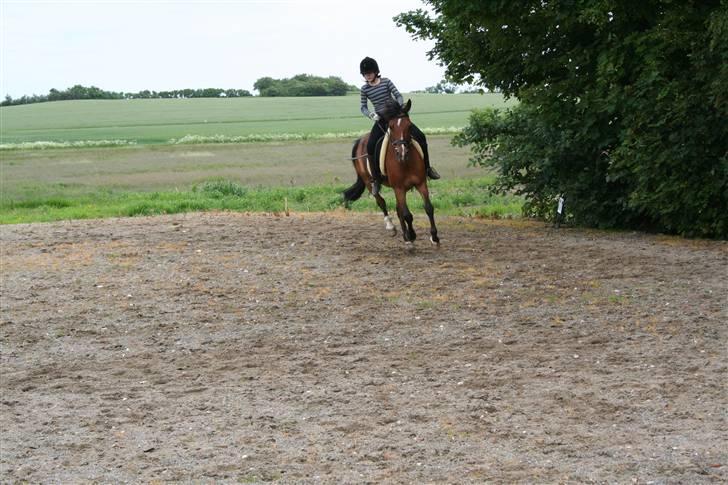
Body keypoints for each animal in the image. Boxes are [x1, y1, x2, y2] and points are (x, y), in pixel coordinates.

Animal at [342, 99, 438, 250]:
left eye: (409, 125)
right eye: (391, 127)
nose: (402, 152)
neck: (405, 162)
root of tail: (361, 140)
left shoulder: (420, 183)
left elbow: (428, 208)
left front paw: (434, 237)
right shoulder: (399, 188)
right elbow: (407, 214)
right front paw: (411, 237)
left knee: (398, 210)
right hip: (369, 182)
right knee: (381, 201)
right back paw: (392, 227)